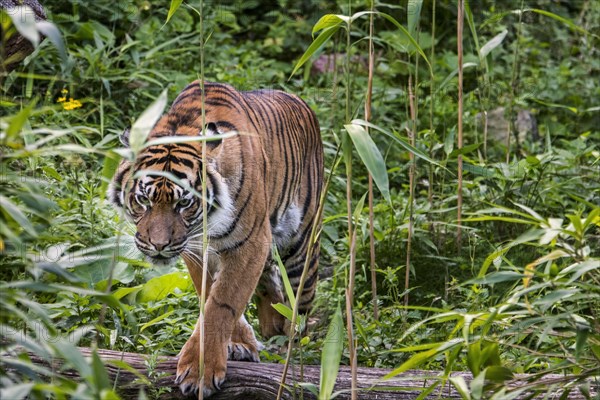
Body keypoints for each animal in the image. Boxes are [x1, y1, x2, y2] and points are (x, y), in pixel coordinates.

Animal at [108, 82, 324, 396]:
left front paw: (200, 370)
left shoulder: (250, 242)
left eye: (183, 203)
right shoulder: (196, 249)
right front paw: (240, 343)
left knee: (299, 308)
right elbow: (210, 293)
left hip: (301, 247)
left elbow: (222, 302)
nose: (158, 246)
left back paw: (291, 350)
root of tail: (299, 100)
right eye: (143, 200)